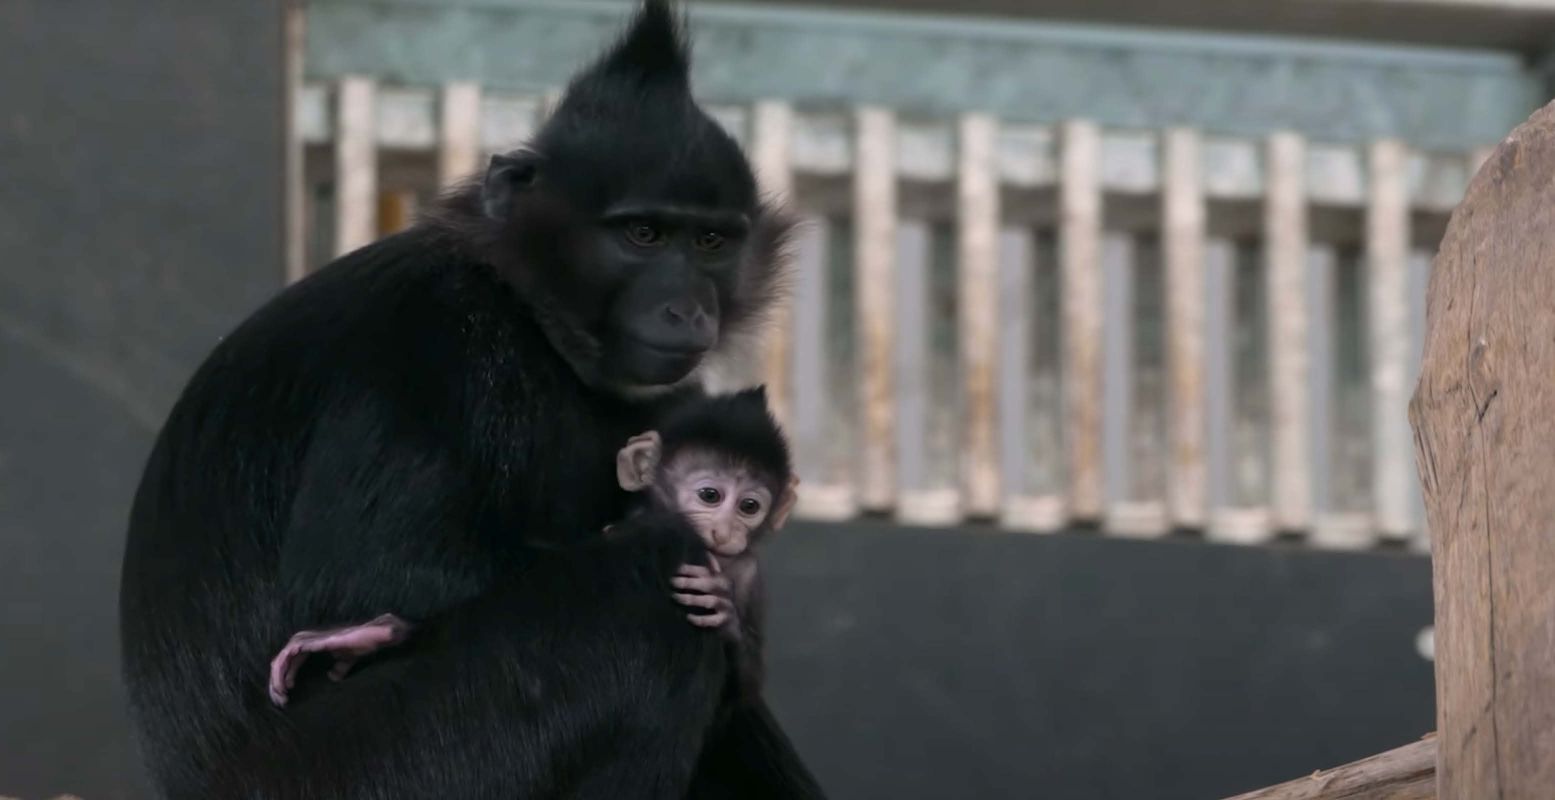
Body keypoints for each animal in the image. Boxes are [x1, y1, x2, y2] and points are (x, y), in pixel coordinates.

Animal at [267, 385, 796, 703]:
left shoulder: (746, 572)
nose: (726, 532)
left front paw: (722, 611)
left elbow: (747, 689)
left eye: (750, 506)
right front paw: (375, 633)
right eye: (710, 496)